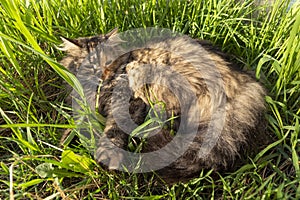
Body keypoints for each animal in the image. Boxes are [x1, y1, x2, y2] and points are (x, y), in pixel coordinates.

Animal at [58, 27, 268, 183]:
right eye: (90, 66)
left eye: (110, 63)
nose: (104, 75)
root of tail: (244, 84)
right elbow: (77, 122)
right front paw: (64, 143)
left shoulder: (127, 101)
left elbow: (115, 128)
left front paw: (108, 154)